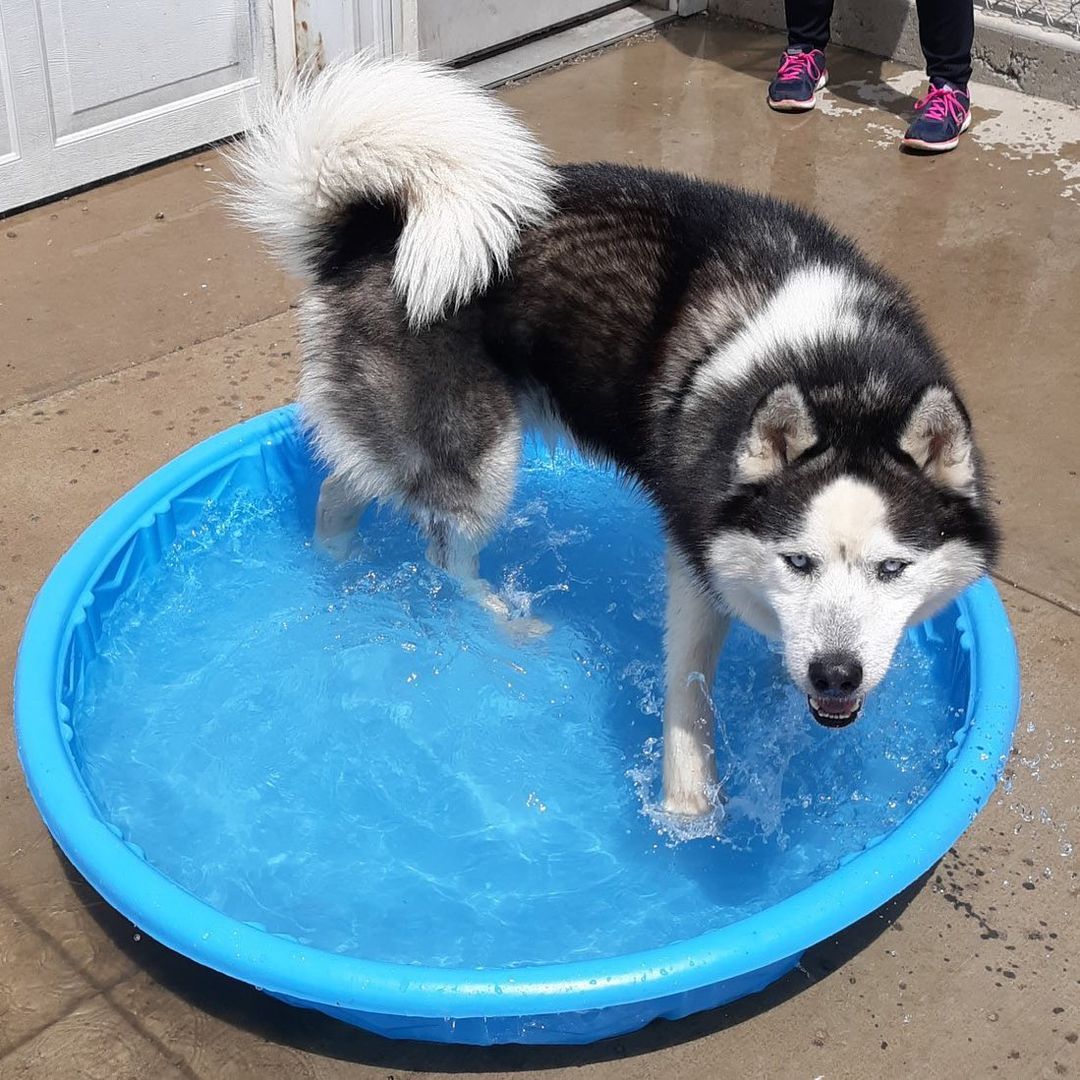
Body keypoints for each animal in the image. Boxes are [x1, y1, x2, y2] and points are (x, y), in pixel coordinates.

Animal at [232, 54, 997, 812]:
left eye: (892, 569)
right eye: (797, 560)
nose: (835, 674)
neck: (839, 369)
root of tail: (369, 234)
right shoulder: (695, 550)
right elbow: (688, 687)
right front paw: (688, 808)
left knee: (342, 486)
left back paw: (336, 563)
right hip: (483, 460)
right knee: (445, 555)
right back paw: (501, 619)